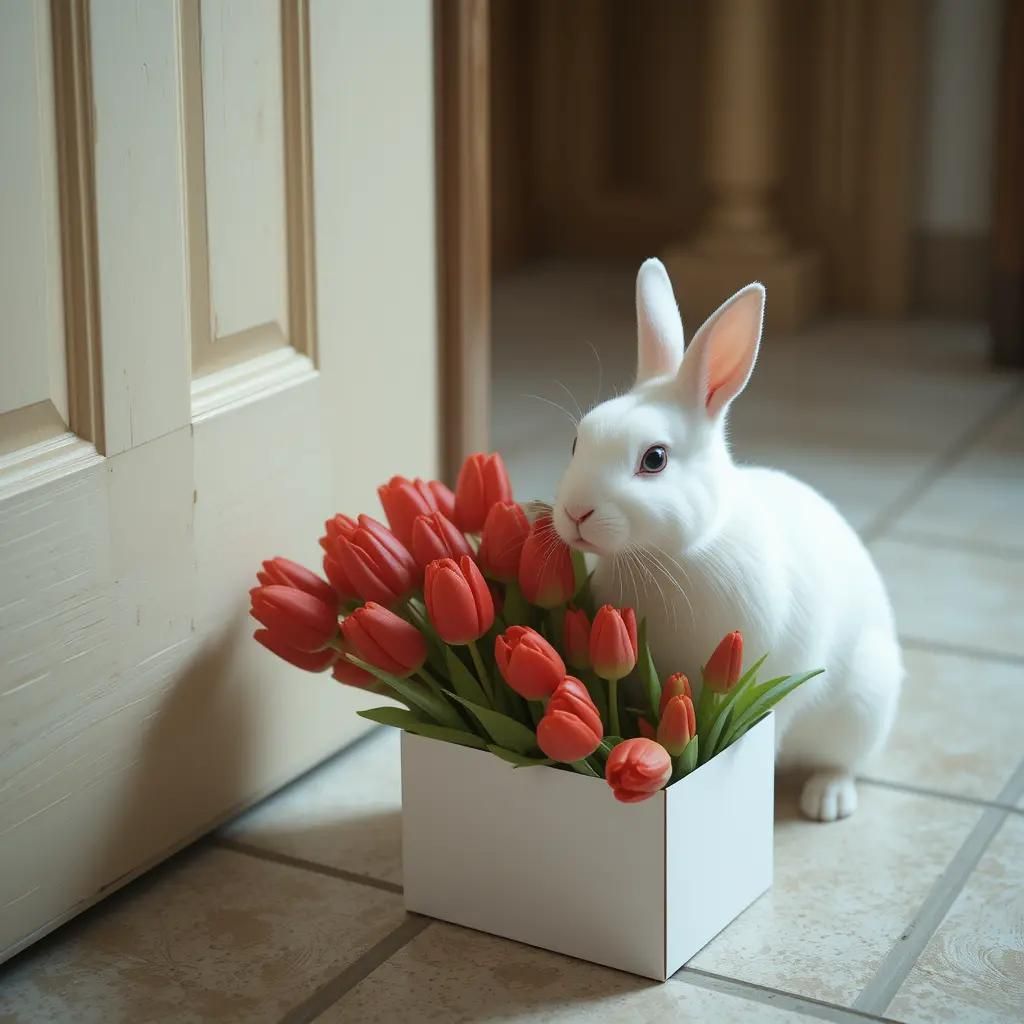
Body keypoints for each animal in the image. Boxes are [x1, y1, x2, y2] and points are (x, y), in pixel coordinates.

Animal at [552, 258, 902, 822]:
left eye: (654, 459)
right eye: (578, 440)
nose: (574, 513)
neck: (673, 554)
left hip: (863, 705)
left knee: (843, 762)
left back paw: (827, 800)